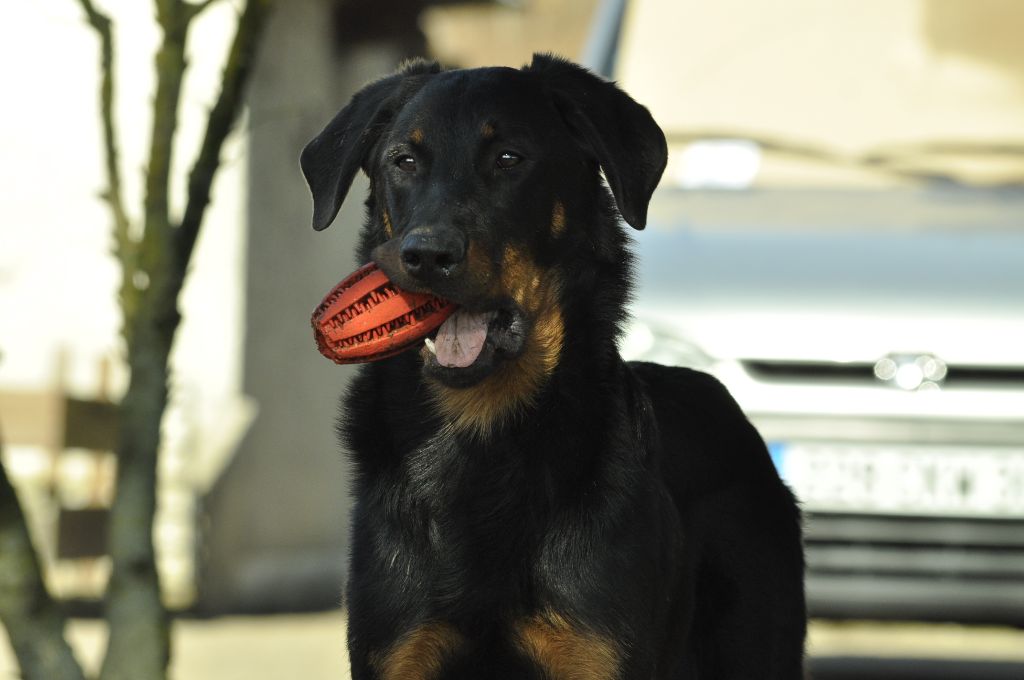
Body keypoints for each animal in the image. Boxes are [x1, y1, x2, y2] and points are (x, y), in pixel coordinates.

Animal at [299, 54, 802, 680]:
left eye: (508, 159)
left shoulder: (595, 653)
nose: (426, 256)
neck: (480, 436)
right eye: (404, 161)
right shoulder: (398, 651)